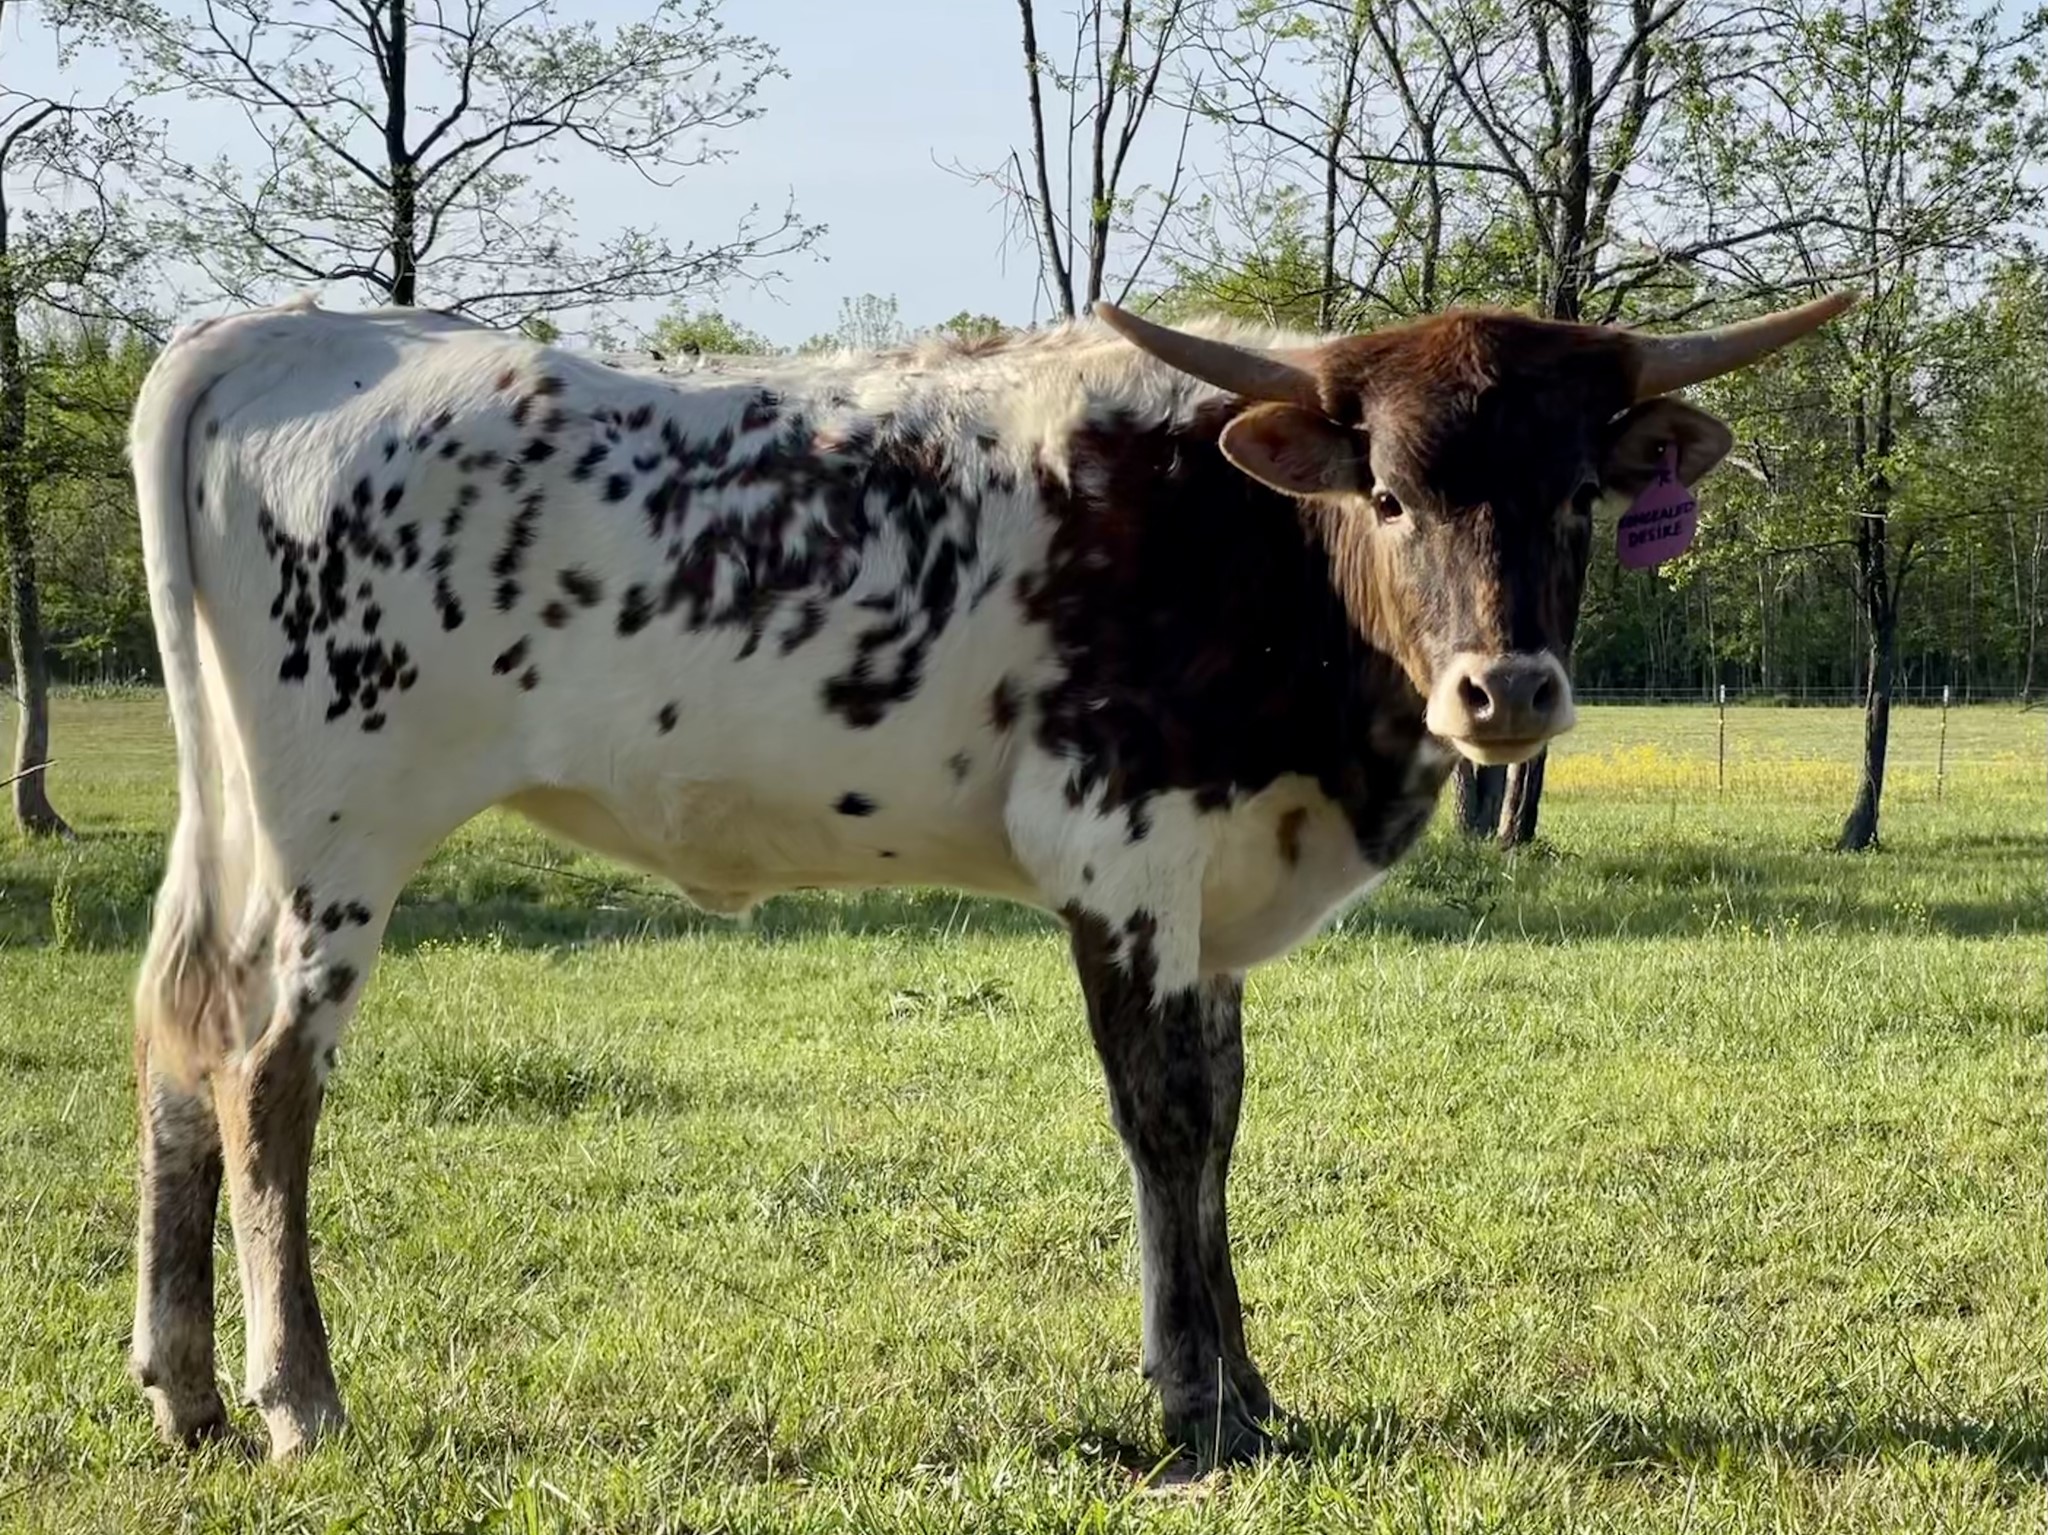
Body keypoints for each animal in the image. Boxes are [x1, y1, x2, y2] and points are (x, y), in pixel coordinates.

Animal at [124, 289, 1851, 1464]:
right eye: (1388, 494)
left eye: (1577, 493)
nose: (1508, 691)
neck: (1252, 546)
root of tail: (280, 334)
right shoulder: (1121, 841)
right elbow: (1165, 1116)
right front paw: (1196, 1398)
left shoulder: (1216, 880)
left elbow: (1222, 1113)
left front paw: (1251, 1381)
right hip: (341, 828)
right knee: (269, 1074)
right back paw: (300, 1397)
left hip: (240, 835)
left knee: (177, 1034)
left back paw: (187, 1385)